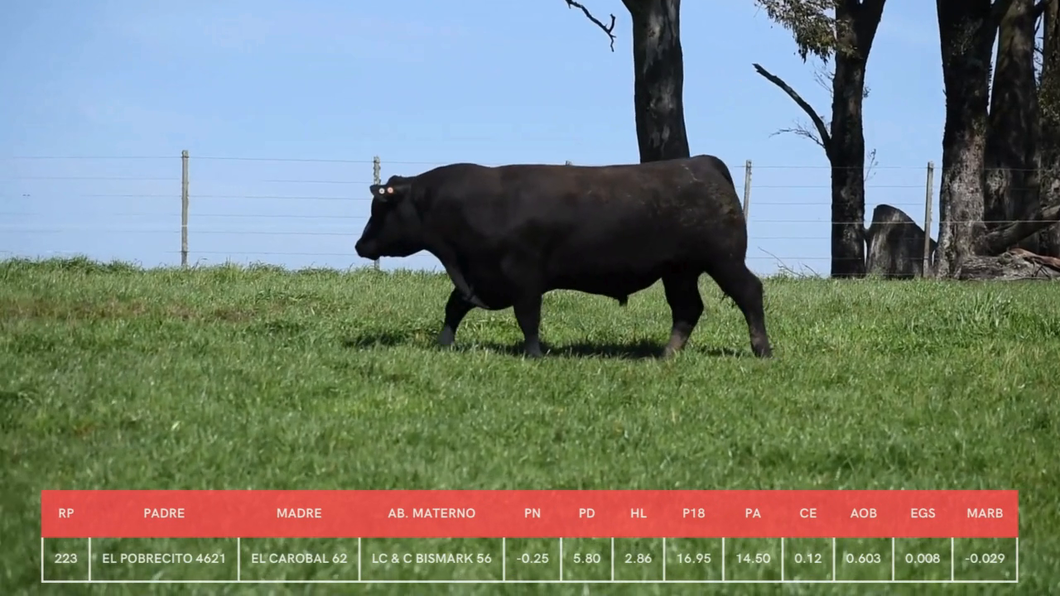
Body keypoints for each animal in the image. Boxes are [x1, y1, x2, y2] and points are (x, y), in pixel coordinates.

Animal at [356, 153, 771, 356]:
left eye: (379, 209)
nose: (361, 246)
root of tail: (702, 162)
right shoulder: (479, 278)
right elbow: (454, 307)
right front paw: (444, 345)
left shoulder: (523, 276)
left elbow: (528, 317)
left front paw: (535, 354)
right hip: (679, 271)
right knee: (687, 309)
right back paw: (667, 354)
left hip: (724, 259)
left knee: (749, 293)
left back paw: (762, 349)